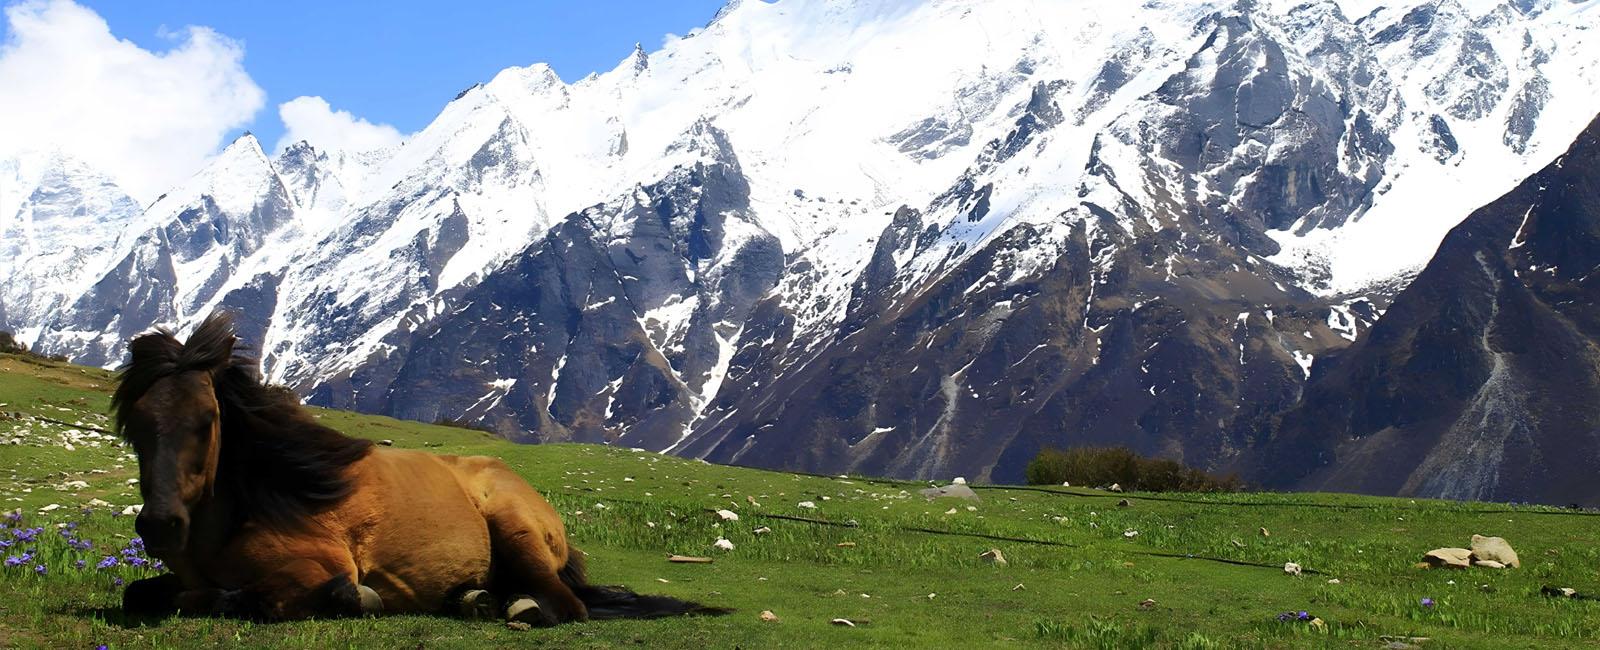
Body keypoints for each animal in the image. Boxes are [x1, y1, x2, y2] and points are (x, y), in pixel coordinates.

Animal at [112, 312, 732, 627]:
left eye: (206, 420)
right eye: (135, 422)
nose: (160, 525)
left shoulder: (324, 566)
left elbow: (278, 598)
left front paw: (362, 599)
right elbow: (140, 594)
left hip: (514, 525)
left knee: (566, 606)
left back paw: (513, 608)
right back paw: (474, 600)